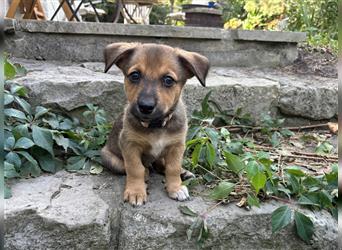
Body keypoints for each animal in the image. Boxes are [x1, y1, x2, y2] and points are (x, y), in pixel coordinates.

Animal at [100, 43, 210, 206]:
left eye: (168, 80)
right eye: (134, 76)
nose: (145, 106)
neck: (156, 125)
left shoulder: (177, 146)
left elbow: (173, 168)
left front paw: (176, 187)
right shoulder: (129, 145)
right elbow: (135, 168)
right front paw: (136, 192)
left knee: (161, 164)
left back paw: (183, 173)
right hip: (108, 157)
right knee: (135, 168)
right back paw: (147, 174)